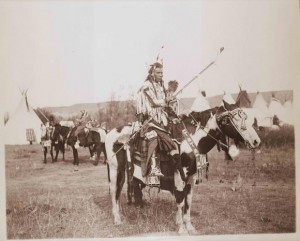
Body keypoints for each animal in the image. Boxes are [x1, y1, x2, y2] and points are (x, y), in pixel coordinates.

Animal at [104, 101, 258, 233]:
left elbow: (188, 200)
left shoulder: (191, 176)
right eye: (235, 120)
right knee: (114, 191)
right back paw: (117, 219)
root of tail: (110, 133)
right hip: (114, 169)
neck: (191, 139)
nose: (256, 141)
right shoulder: (179, 173)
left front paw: (189, 226)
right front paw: (182, 229)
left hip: (122, 171)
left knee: (119, 191)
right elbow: (180, 199)